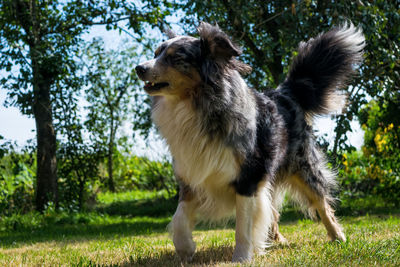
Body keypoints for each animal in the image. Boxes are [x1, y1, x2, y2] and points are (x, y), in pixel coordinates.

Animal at [136, 21, 364, 264]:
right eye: (156, 54)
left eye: (175, 57)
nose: (139, 68)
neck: (194, 106)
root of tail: (284, 92)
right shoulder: (193, 175)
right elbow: (179, 217)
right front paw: (185, 248)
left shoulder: (249, 177)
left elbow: (243, 225)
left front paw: (241, 258)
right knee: (272, 210)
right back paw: (276, 240)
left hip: (302, 165)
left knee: (321, 201)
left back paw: (338, 236)